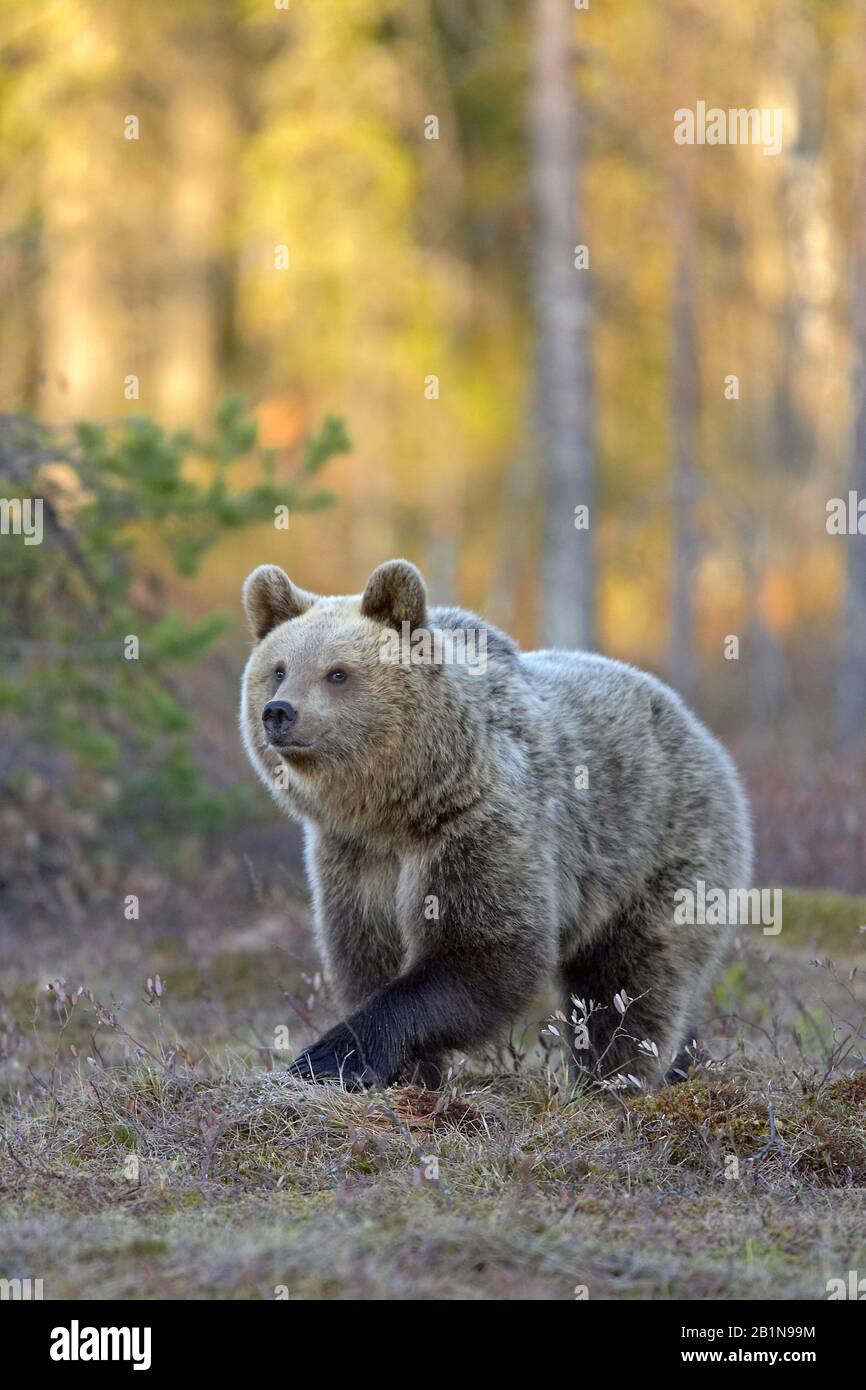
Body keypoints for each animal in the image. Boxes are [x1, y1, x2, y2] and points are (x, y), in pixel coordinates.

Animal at [240, 558, 752, 1089]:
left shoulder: (480, 824)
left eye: (337, 672)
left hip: (662, 848)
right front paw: (407, 1071)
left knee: (631, 979)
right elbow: (365, 956)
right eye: (279, 669)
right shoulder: (351, 857)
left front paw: (329, 1057)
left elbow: (487, 951)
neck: (396, 809)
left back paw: (614, 1078)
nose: (279, 712)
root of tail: (697, 726)